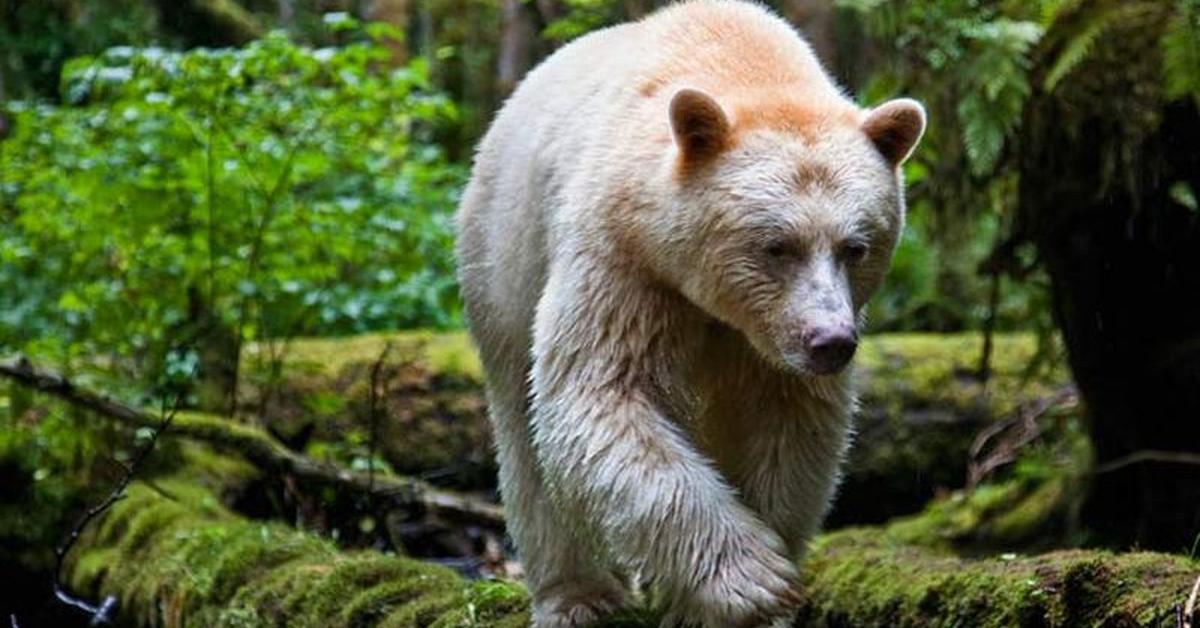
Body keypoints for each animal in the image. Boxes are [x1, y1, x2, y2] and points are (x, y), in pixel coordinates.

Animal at [453, 2, 921, 624]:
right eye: (777, 245)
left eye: (856, 246)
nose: (830, 342)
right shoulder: (624, 259)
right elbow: (603, 394)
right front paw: (754, 579)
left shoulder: (767, 347)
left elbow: (787, 428)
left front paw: (743, 593)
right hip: (503, 261)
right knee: (524, 432)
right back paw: (578, 594)